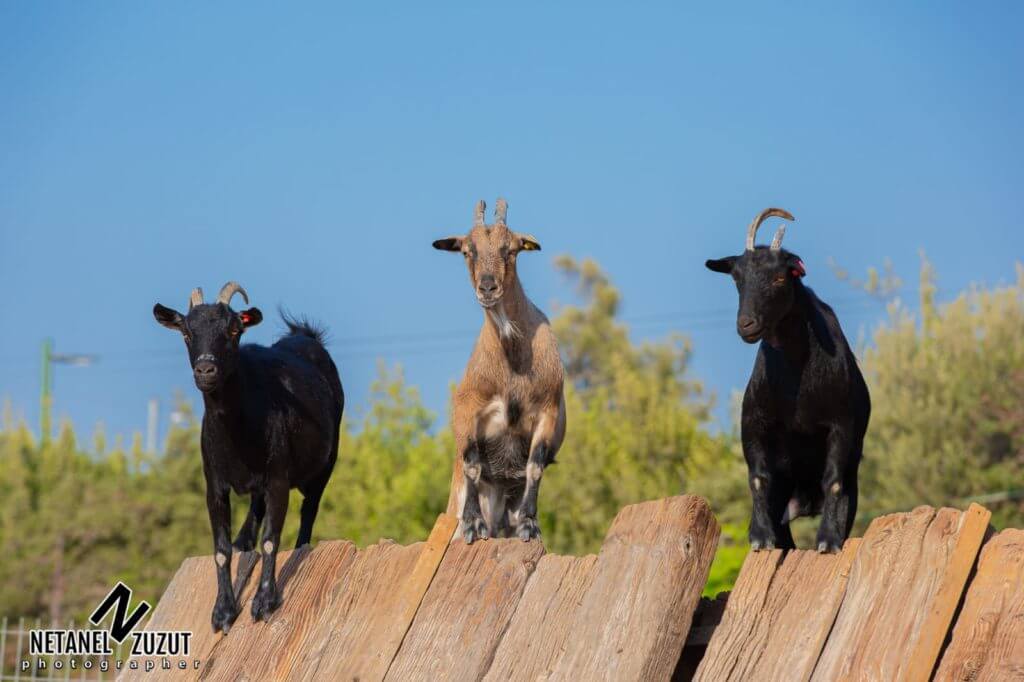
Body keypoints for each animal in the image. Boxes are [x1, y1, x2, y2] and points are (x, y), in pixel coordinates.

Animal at [151, 280, 344, 626]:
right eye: (186, 332)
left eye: (233, 330)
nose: (205, 369)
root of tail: (307, 336)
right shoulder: (214, 485)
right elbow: (220, 549)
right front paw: (223, 611)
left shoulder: (279, 479)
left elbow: (270, 540)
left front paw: (265, 602)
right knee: (256, 506)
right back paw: (243, 540)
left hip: (327, 462)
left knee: (309, 510)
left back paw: (300, 546)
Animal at [432, 196, 569, 540]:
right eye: (467, 250)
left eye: (511, 249)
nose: (488, 288)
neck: (512, 367)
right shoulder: (467, 409)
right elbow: (473, 464)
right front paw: (472, 524)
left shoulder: (547, 411)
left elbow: (535, 467)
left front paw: (530, 525)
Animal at [708, 210, 868, 552]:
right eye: (737, 278)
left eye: (781, 277)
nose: (746, 324)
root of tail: (804, 503)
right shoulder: (755, 423)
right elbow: (758, 478)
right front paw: (760, 537)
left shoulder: (840, 423)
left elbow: (833, 480)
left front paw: (827, 541)